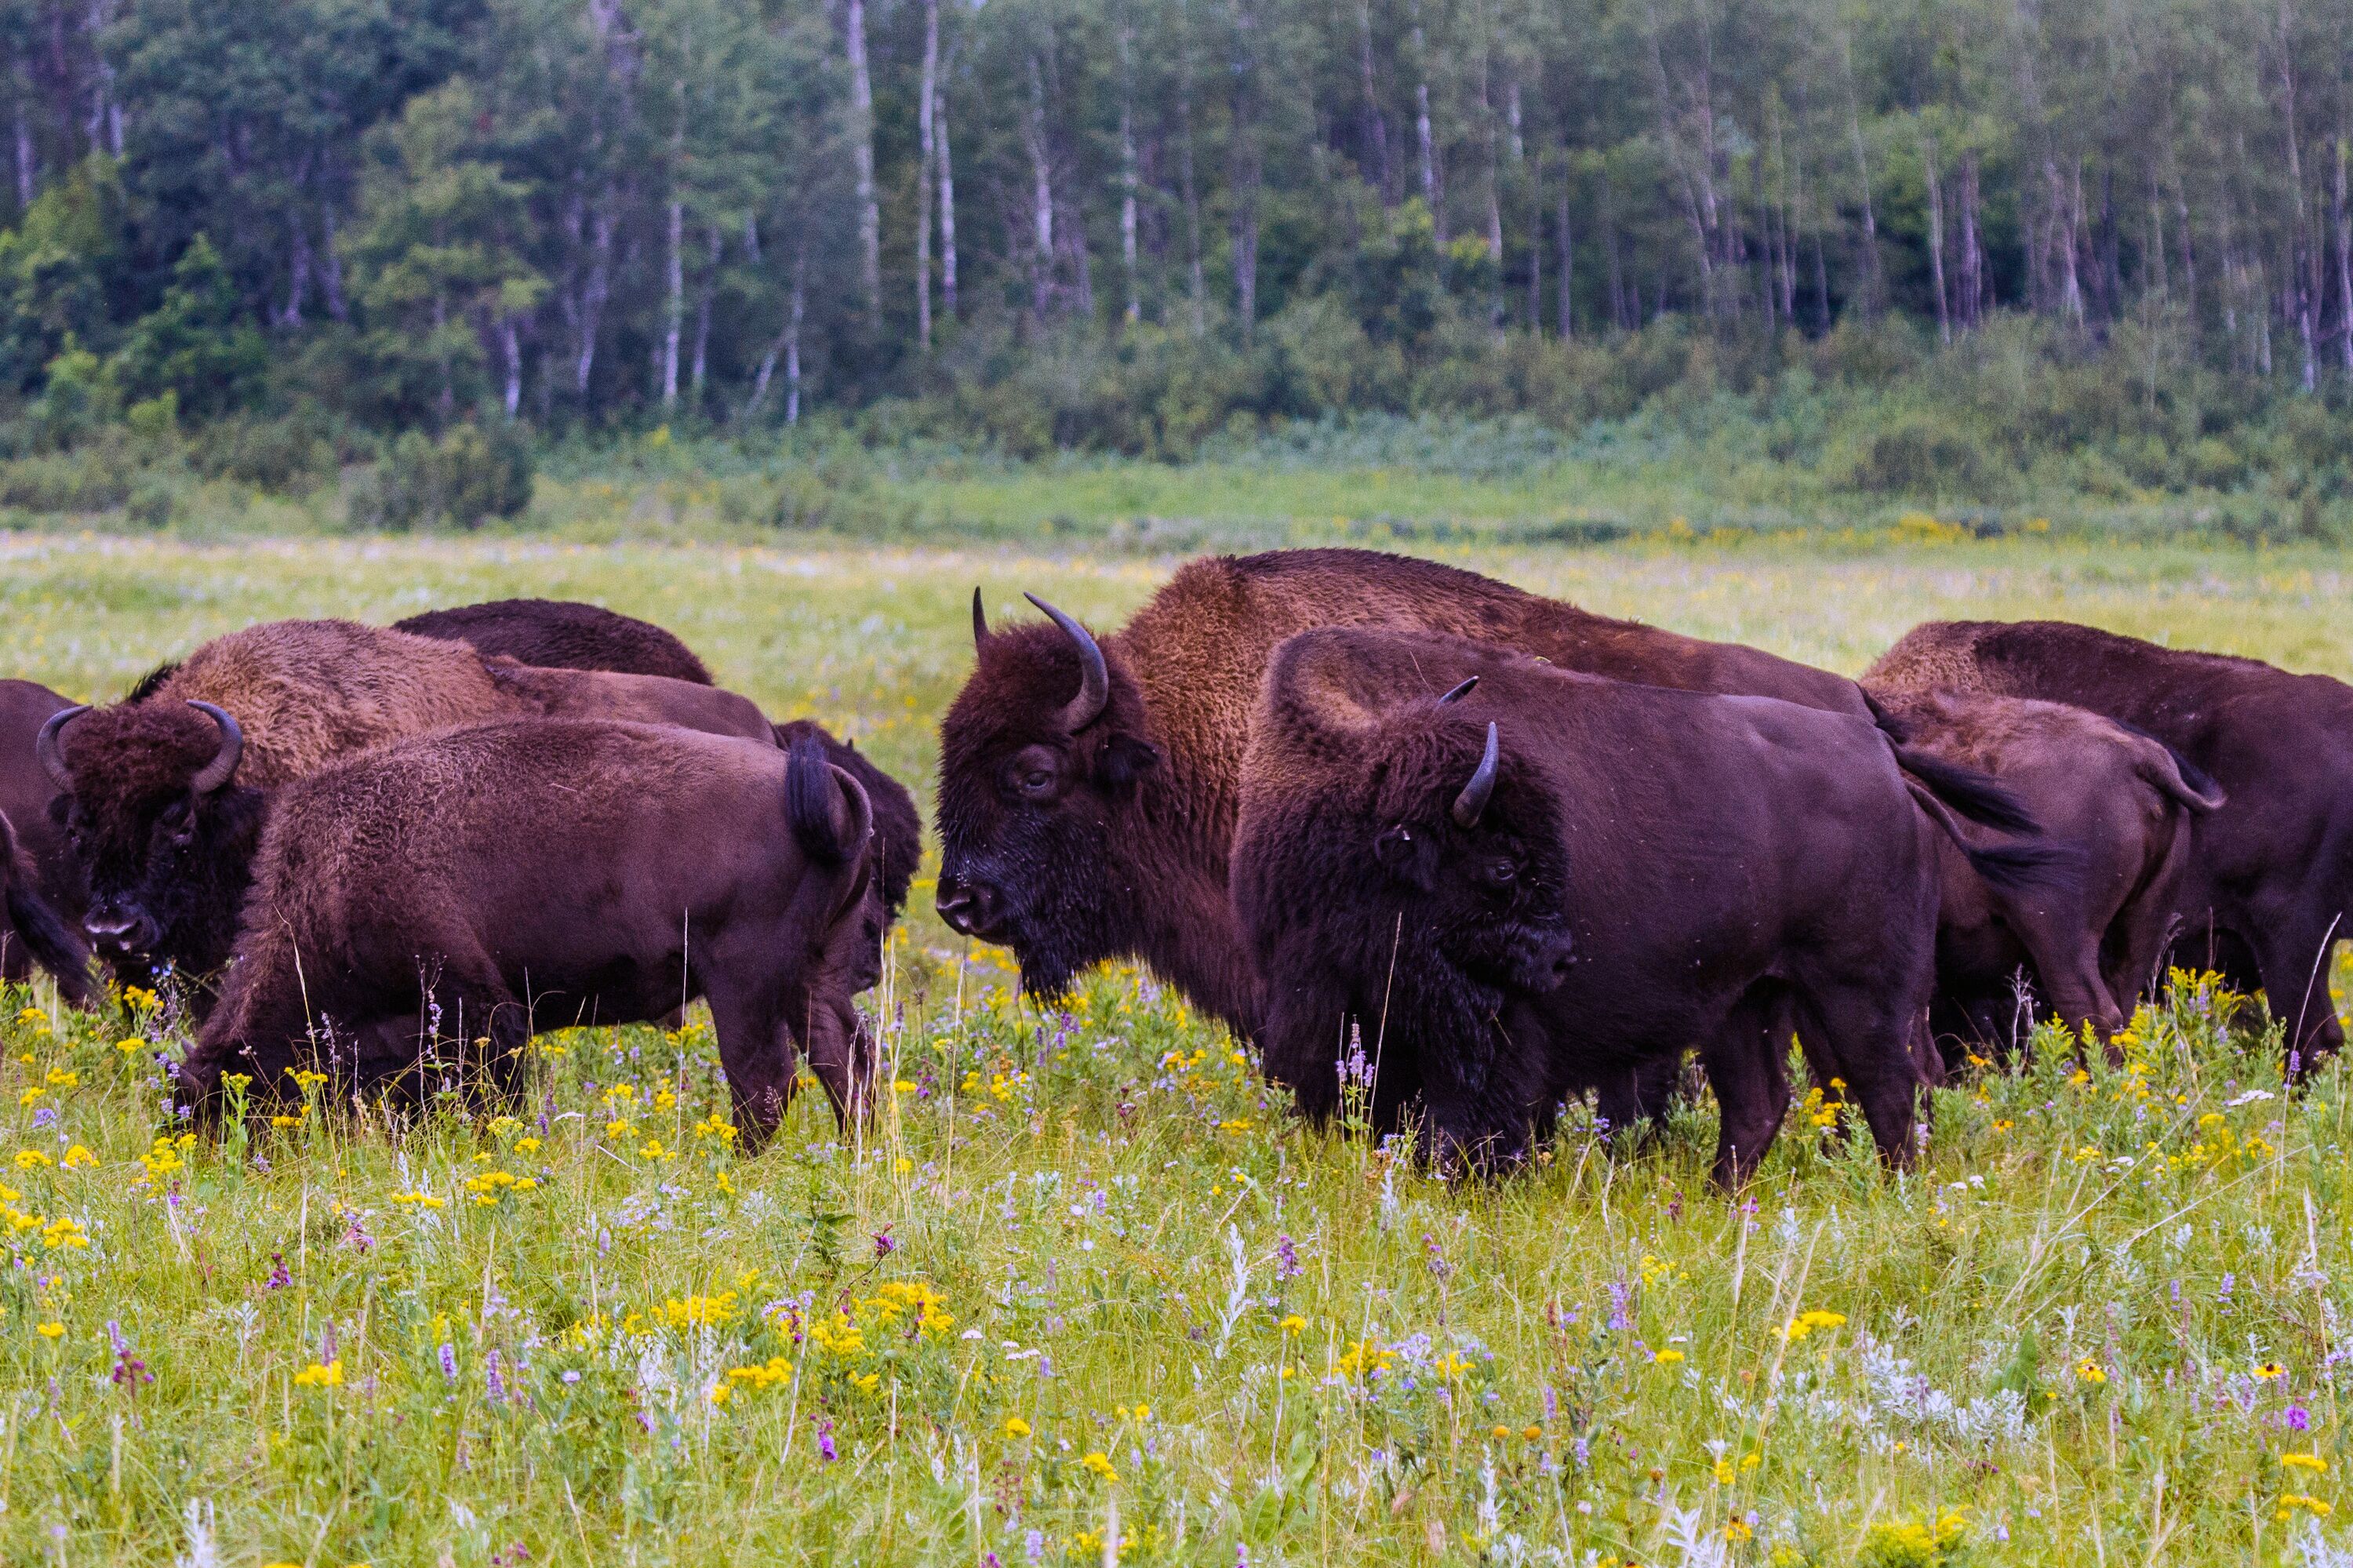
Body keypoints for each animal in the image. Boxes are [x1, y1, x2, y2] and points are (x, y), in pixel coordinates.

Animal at [1233, 631, 2080, 1177]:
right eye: (1504, 867)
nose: (1562, 960)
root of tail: (1885, 760)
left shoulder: (1494, 1044)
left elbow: (1476, 1129)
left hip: (1864, 992)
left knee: (1896, 1090)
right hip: (1749, 999)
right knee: (1764, 1103)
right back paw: (1716, 1201)